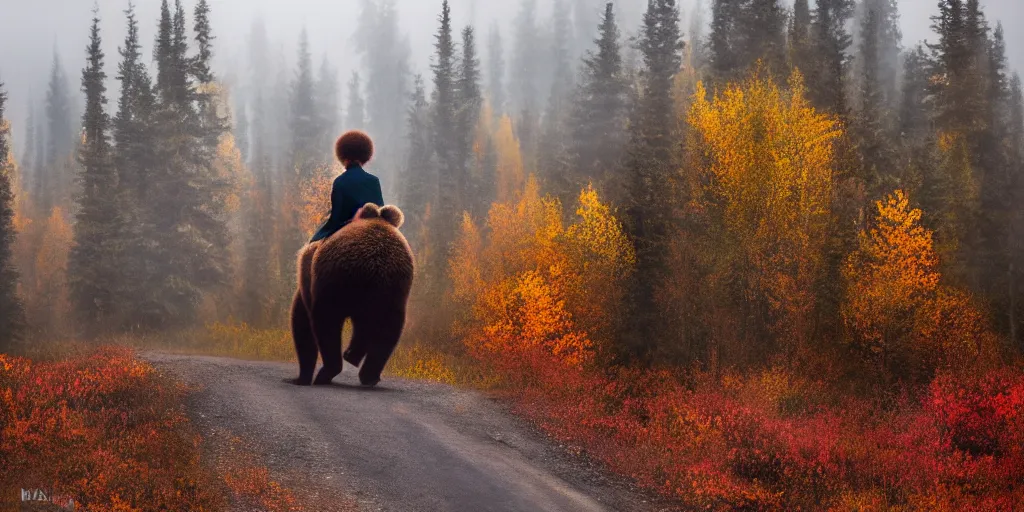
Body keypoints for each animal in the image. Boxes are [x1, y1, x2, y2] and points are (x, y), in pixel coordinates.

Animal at [290, 201, 413, 385]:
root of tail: (376, 266)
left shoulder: (309, 277)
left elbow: (302, 322)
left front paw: (301, 376)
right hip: (393, 293)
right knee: (388, 331)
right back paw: (366, 372)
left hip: (334, 283)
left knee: (327, 324)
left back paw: (328, 371)